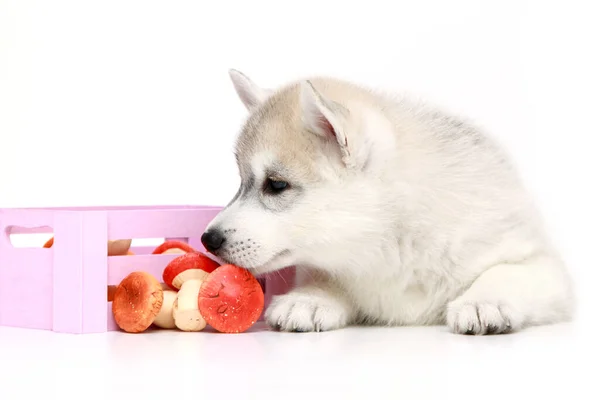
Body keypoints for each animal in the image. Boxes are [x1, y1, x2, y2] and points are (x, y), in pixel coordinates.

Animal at [200, 69, 572, 334]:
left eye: (276, 185)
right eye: (240, 182)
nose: (208, 239)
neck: (389, 242)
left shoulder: (541, 262)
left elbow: (505, 272)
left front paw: (484, 301)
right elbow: (326, 277)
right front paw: (310, 297)